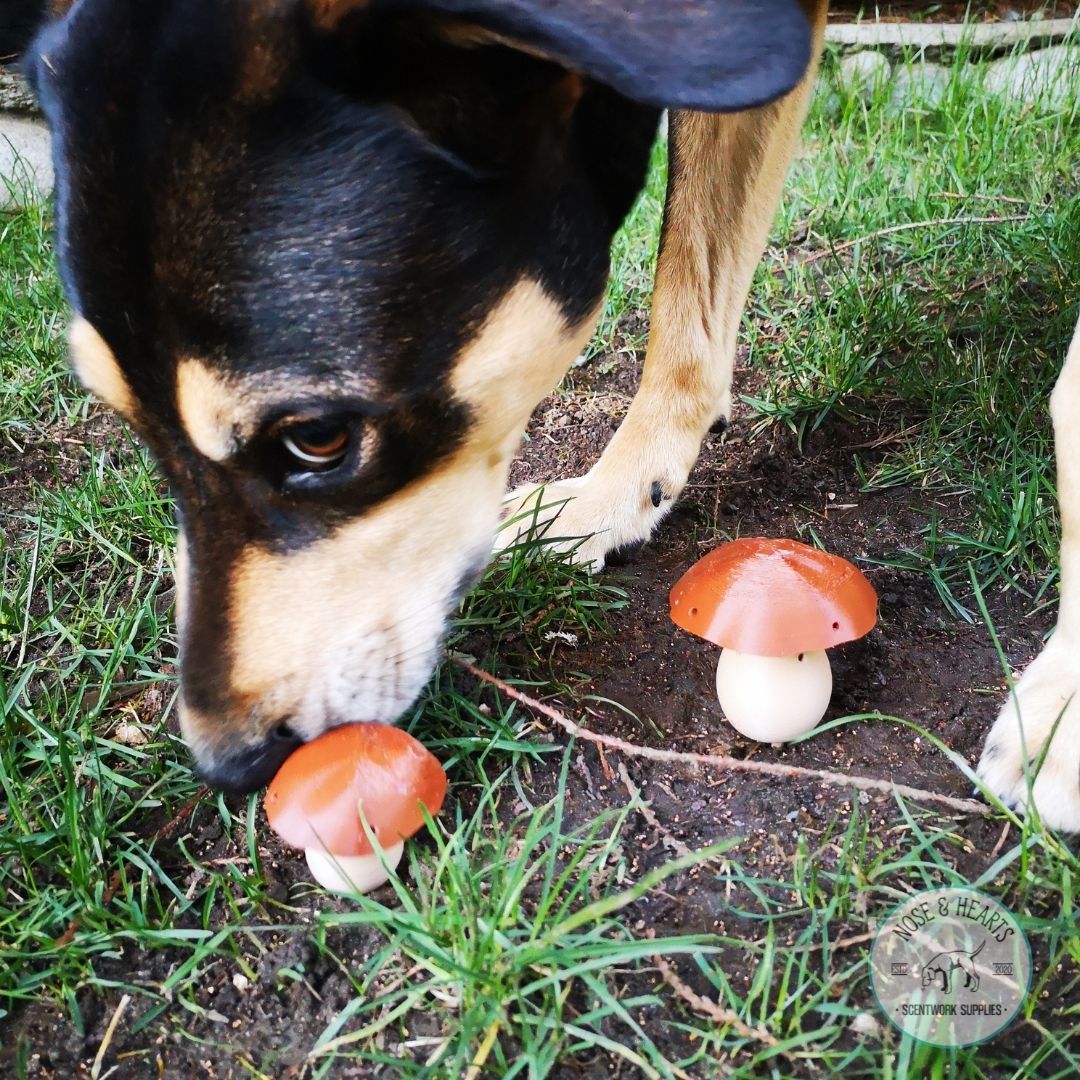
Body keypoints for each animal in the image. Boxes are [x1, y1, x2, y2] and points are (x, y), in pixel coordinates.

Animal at [21, 0, 1080, 829]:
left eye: (318, 436)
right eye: (127, 421)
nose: (227, 767)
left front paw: (1065, 722)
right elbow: (689, 293)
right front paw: (617, 497)